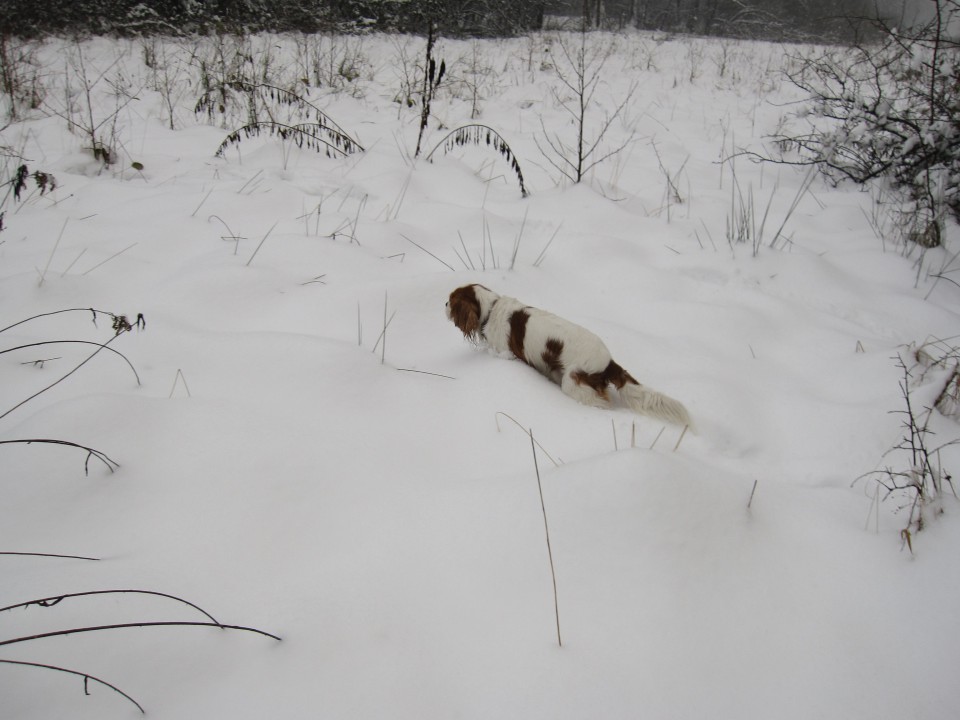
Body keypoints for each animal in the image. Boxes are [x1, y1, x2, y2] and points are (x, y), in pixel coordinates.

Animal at [442, 282, 688, 428]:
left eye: (451, 301)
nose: (443, 303)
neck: (491, 309)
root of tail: (609, 362)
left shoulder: (506, 352)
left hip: (573, 383)